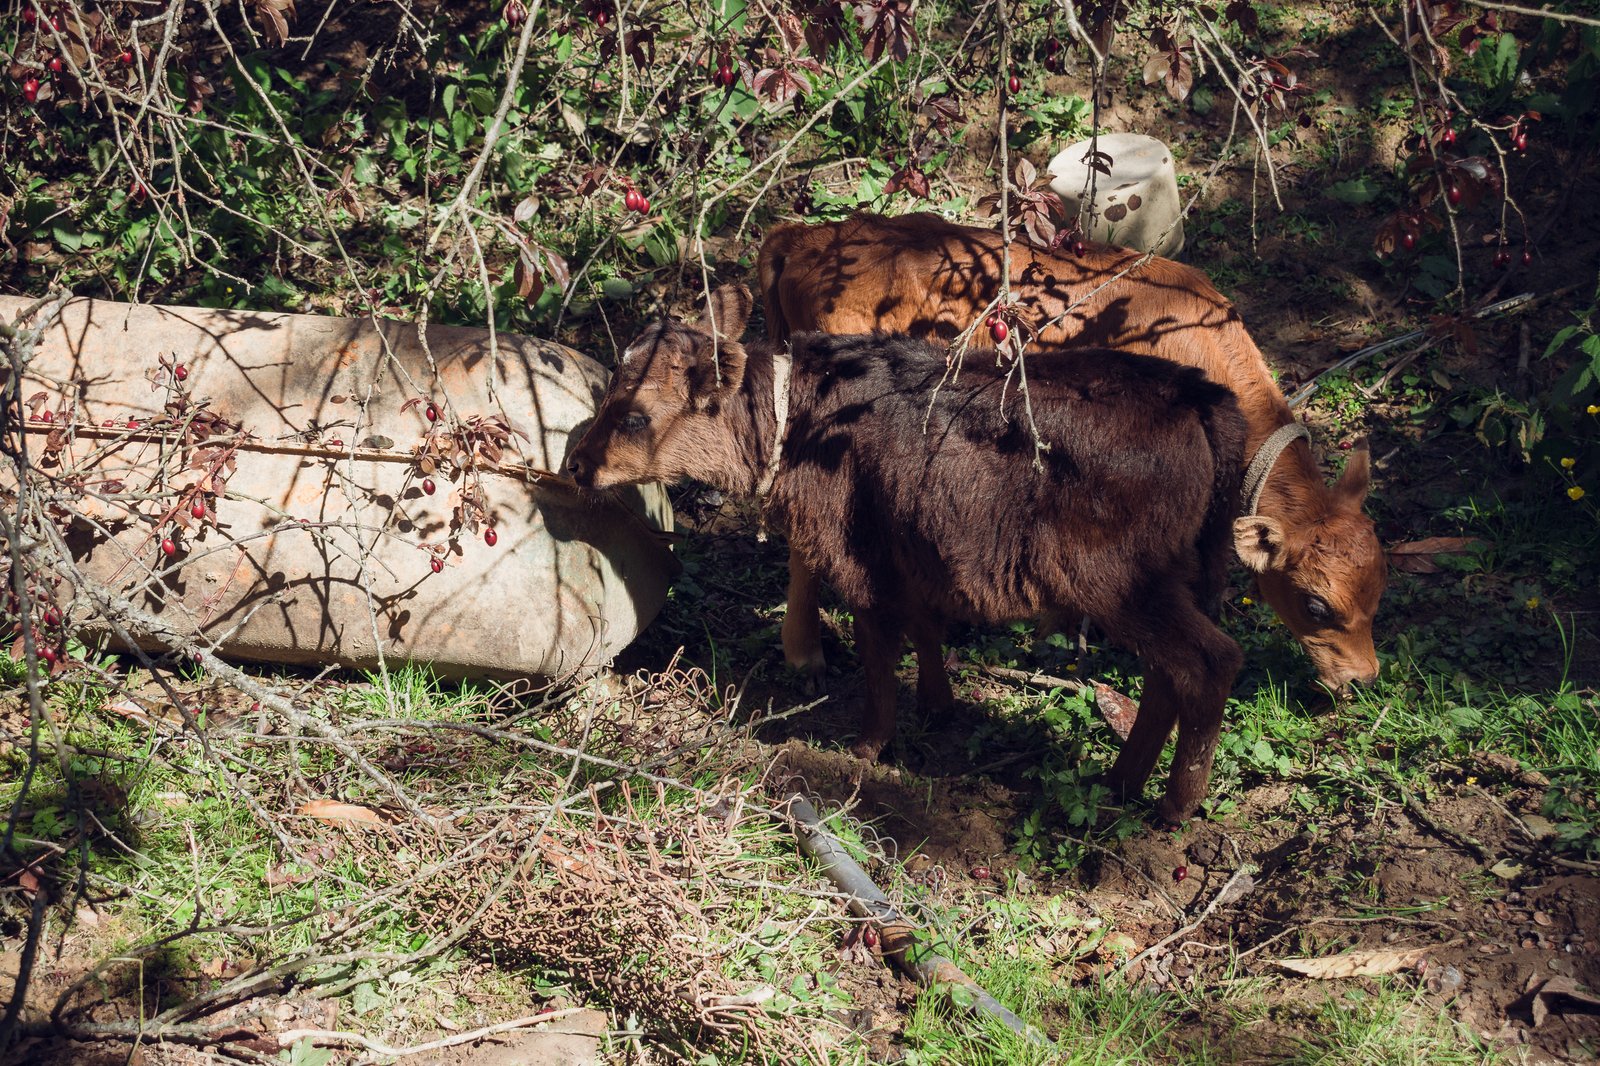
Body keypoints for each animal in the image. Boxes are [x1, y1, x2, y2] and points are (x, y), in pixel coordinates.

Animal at [569, 284, 1254, 819]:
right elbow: (926, 629)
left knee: (1209, 663)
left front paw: (867, 750)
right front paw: (937, 707)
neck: (795, 424)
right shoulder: (912, 548)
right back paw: (1121, 782)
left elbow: (878, 653)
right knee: (1167, 676)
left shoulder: (857, 554)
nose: (575, 465)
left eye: (634, 417)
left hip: (1119, 581)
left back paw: (1173, 807)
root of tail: (1207, 398)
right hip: (1176, 579)